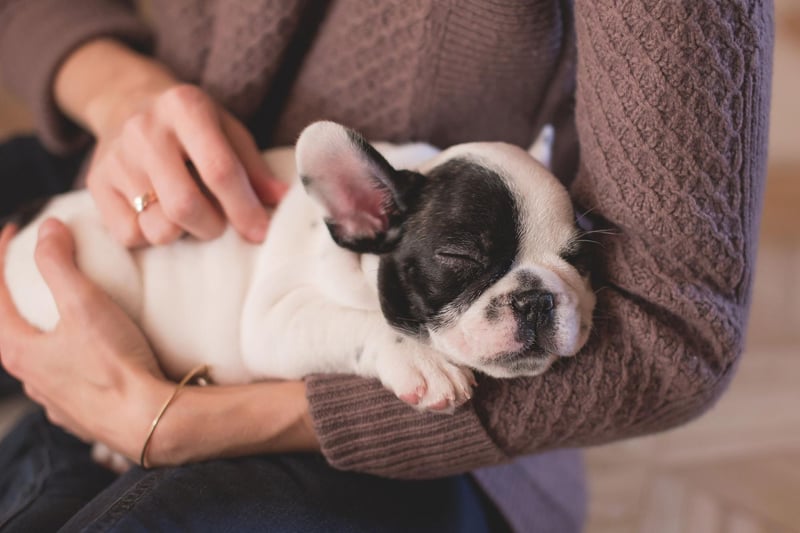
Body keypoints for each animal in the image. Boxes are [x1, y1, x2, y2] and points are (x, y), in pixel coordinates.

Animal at [4, 120, 592, 412]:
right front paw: (422, 361)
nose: (537, 298)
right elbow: (359, 322)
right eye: (460, 257)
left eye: (579, 260)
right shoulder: (274, 320)